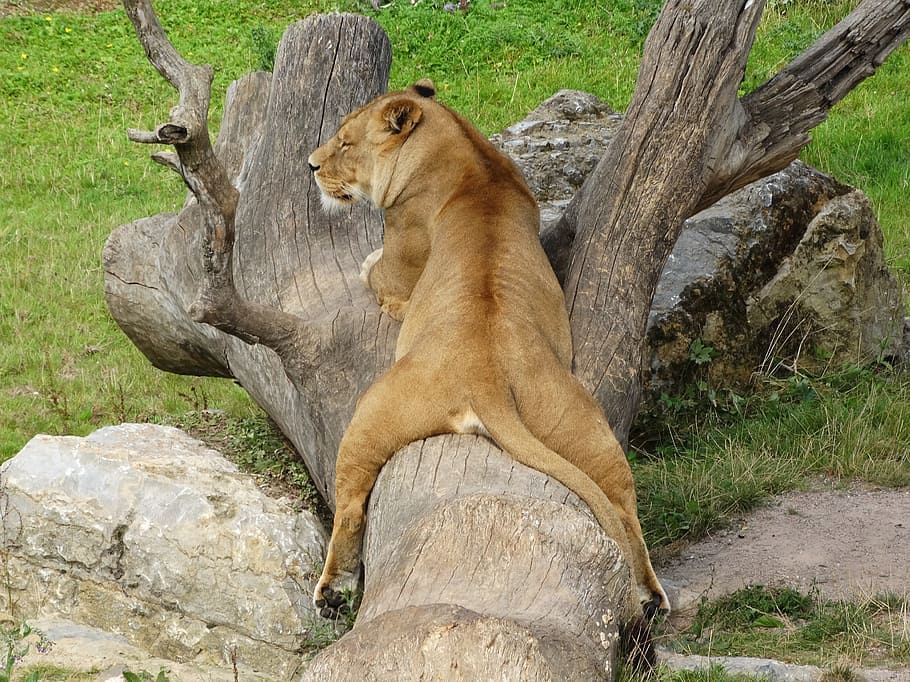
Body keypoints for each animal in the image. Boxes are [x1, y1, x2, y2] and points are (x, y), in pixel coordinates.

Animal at [308, 79, 670, 637]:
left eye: (345, 142)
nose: (311, 165)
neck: (465, 153)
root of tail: (485, 378)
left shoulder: (397, 266)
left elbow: (373, 271)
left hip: (369, 413)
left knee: (348, 508)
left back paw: (331, 589)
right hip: (584, 427)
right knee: (623, 507)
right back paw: (651, 596)